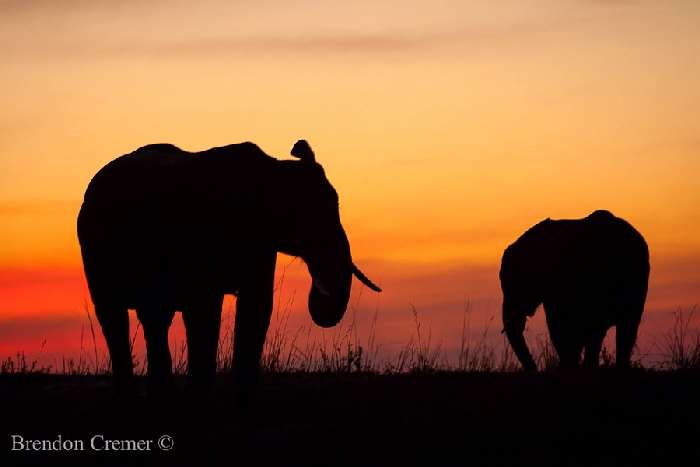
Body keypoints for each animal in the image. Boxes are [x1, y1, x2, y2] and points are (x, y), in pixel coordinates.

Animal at [76, 140, 380, 398]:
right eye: (316, 215)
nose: (320, 293)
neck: (274, 170)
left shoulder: (261, 245)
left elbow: (257, 305)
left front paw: (245, 396)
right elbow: (205, 308)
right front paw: (200, 396)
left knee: (155, 317)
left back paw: (162, 395)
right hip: (96, 250)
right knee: (114, 315)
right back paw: (133, 396)